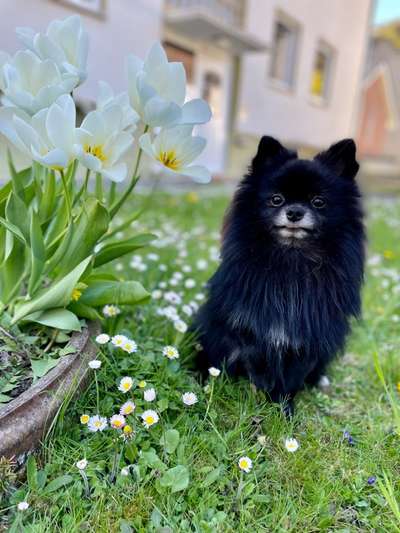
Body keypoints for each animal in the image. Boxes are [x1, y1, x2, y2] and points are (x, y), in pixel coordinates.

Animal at [194, 135, 366, 414]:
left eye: (318, 202)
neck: (291, 260)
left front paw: (283, 410)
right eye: (276, 199)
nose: (294, 212)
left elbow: (291, 379)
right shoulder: (253, 331)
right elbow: (258, 369)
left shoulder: (306, 339)